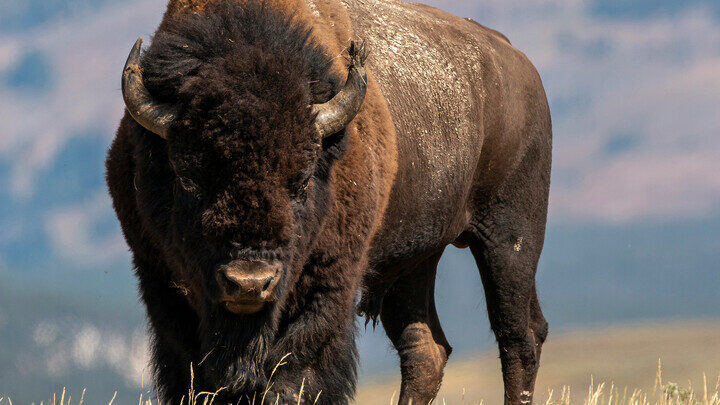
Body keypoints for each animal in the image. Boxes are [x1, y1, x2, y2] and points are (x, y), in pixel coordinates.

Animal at [106, 0, 552, 403]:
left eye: (301, 180)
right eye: (187, 177)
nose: (250, 283)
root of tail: (519, 63)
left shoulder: (329, 284)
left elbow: (293, 375)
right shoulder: (161, 280)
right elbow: (195, 374)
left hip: (509, 239)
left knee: (519, 337)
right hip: (415, 261)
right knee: (426, 350)